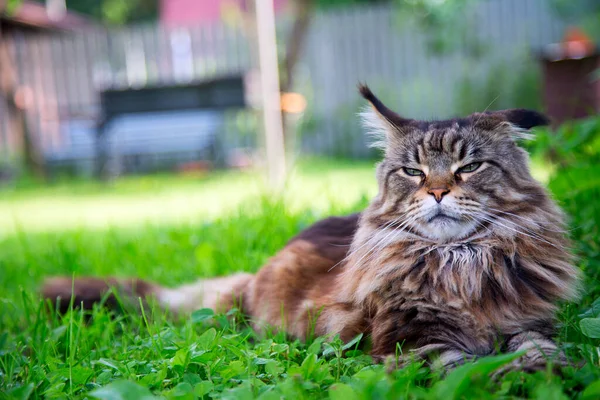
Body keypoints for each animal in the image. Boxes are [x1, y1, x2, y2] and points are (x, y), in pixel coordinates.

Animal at [43, 85, 580, 372]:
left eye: (469, 167)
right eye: (413, 172)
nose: (438, 192)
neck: (459, 264)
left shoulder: (528, 322)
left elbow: (541, 350)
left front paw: (551, 375)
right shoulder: (414, 338)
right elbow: (464, 369)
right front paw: (508, 379)